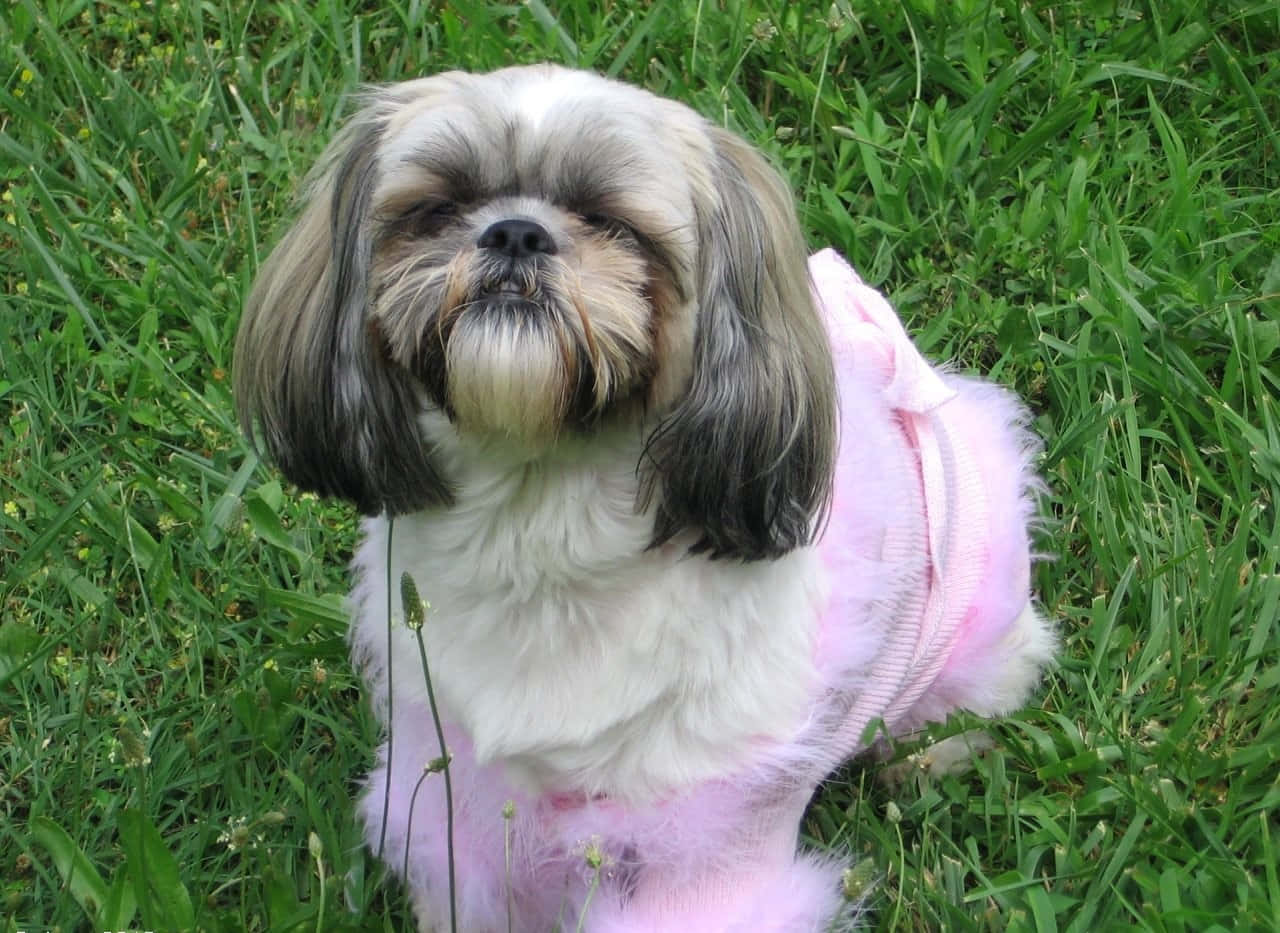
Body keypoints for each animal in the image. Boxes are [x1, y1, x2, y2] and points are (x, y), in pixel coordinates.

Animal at [235, 61, 1054, 926]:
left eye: (611, 222)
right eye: (441, 206)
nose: (515, 232)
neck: (538, 519)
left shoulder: (712, 830)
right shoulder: (460, 781)